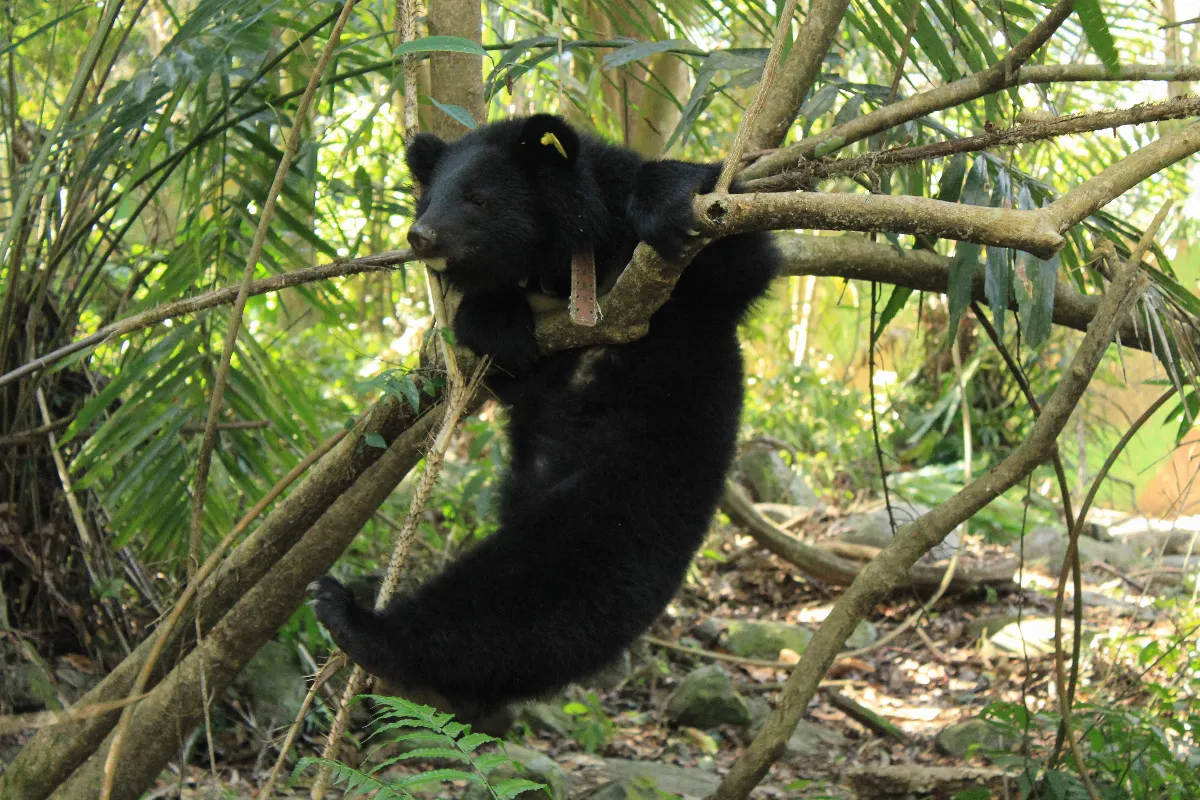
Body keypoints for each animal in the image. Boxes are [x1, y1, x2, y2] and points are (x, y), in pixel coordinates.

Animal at [310, 114, 780, 732]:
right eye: (429, 197)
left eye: (478, 198)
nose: (421, 236)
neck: (567, 268)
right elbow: (502, 354)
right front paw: (501, 324)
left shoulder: (692, 303)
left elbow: (738, 255)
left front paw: (667, 206)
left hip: (629, 492)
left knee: (530, 594)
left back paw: (358, 621)